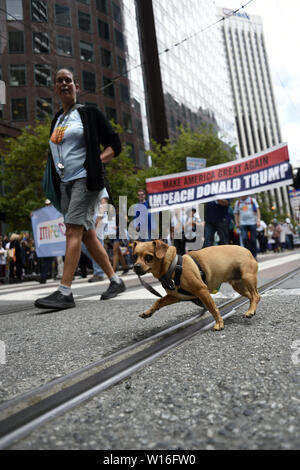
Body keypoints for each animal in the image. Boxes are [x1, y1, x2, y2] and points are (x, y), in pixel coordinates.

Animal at [132, 242, 260, 330]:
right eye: (135, 256)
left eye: (148, 257)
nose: (136, 266)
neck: (173, 267)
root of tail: (247, 250)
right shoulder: (175, 296)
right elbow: (158, 301)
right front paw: (148, 312)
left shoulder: (202, 290)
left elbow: (212, 308)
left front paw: (219, 323)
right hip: (238, 286)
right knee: (251, 297)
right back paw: (251, 310)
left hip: (247, 277)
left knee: (256, 295)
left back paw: (250, 311)